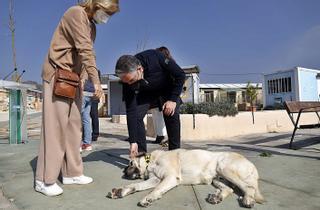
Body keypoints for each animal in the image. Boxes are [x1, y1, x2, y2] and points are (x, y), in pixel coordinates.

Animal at [106, 148, 264, 208]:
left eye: (130, 163)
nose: (124, 171)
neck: (151, 161)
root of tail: (252, 166)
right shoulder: (155, 179)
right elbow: (137, 186)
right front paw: (121, 190)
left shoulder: (169, 177)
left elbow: (155, 189)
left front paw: (148, 198)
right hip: (217, 178)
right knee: (230, 189)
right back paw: (216, 197)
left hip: (224, 167)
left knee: (248, 187)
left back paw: (248, 199)